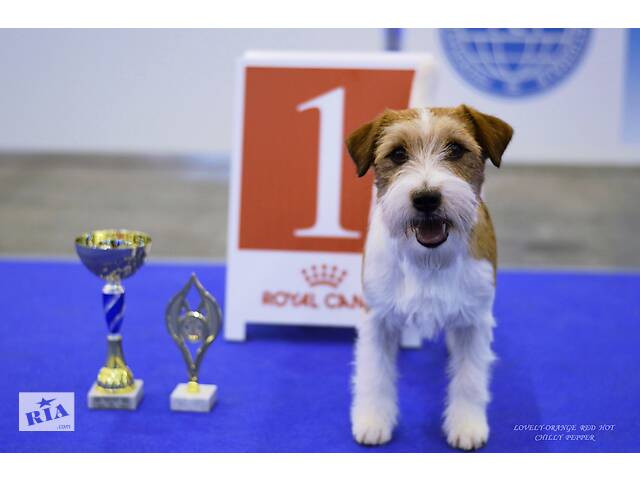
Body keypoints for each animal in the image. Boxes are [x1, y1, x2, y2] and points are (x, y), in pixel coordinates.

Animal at [348, 104, 512, 450]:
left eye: (456, 149)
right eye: (398, 154)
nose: (426, 198)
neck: (430, 259)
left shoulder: (474, 321)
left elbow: (470, 378)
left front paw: (467, 425)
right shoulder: (377, 318)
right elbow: (374, 372)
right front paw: (373, 420)